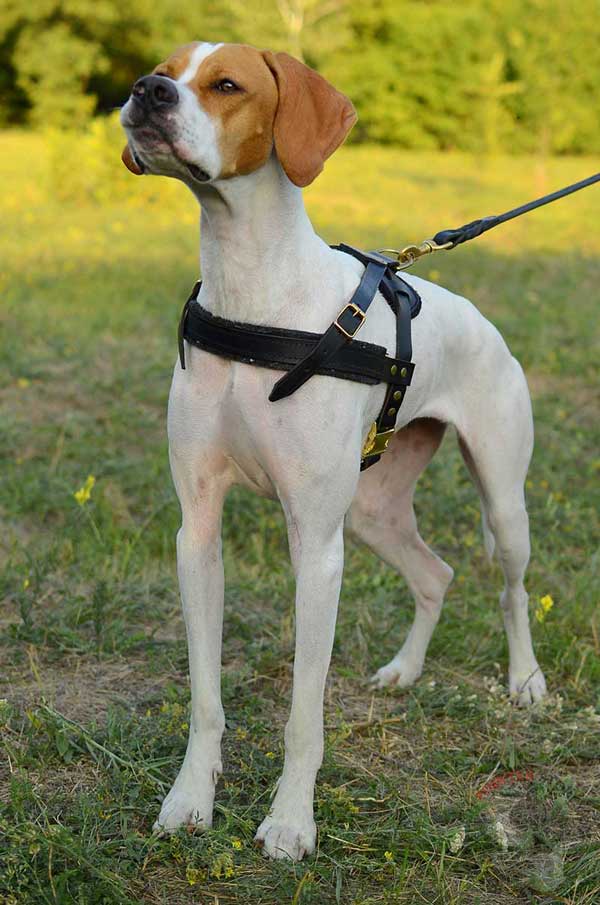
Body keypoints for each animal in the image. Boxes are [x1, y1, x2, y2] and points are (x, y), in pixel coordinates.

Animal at [119, 40, 548, 860]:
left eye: (226, 84)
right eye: (162, 67)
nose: (146, 92)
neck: (254, 290)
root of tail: (487, 322)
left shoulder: (316, 546)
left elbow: (302, 715)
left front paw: (290, 821)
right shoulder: (198, 532)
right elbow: (205, 698)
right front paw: (190, 800)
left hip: (501, 506)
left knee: (508, 588)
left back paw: (526, 681)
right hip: (373, 512)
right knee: (436, 574)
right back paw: (404, 671)